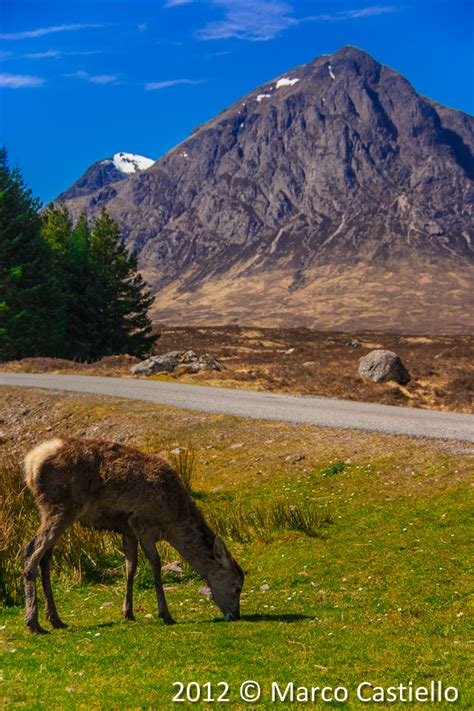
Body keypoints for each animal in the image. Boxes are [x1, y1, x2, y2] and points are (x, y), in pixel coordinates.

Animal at [22, 440, 244, 636]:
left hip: (54, 511)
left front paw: (128, 612)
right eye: (237, 587)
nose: (235, 615)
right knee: (30, 551)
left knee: (45, 559)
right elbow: (155, 564)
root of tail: (31, 463)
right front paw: (165, 614)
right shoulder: (143, 523)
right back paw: (33, 622)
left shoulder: (128, 529)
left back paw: (55, 619)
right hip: (60, 507)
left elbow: (131, 567)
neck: (173, 521)